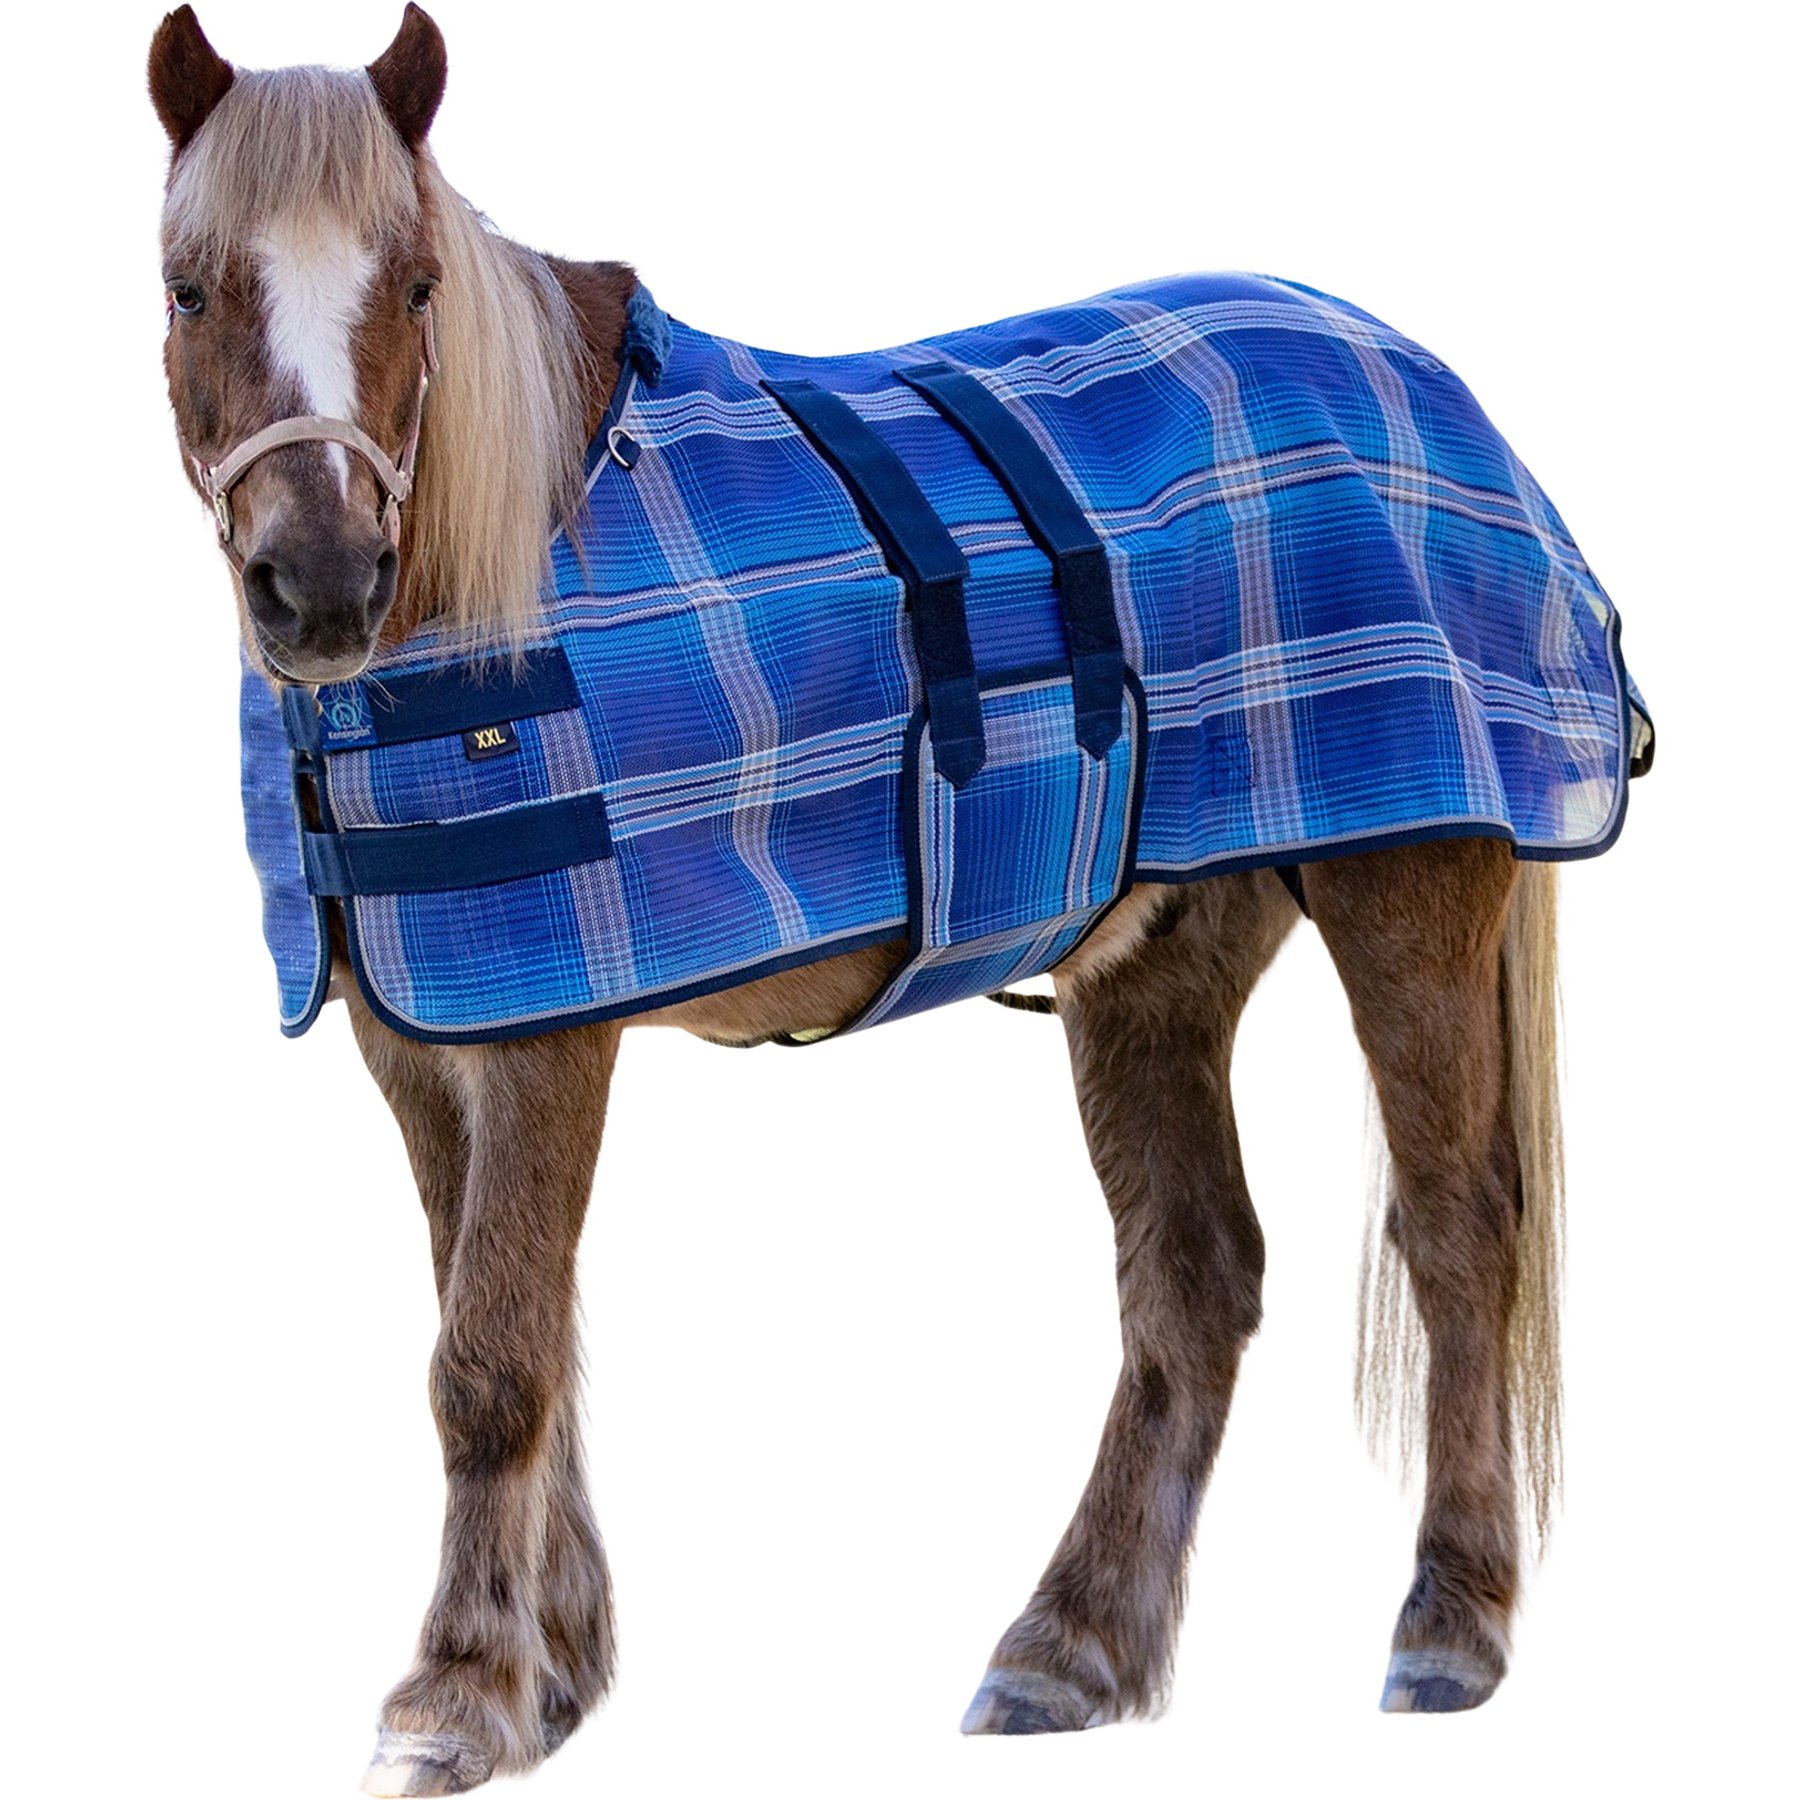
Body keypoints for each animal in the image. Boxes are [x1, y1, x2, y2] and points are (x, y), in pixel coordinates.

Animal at [149, 7, 1649, 1793]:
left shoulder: (548, 1039)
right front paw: (553, 1674)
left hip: (1407, 894)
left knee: (1457, 1230)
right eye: (189, 287)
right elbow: (521, 1329)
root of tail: (1432, 385)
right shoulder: (425, 1037)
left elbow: (493, 1361)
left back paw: (1447, 1623)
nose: (318, 585)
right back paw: (1070, 1649)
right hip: (1160, 959)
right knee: (1196, 1276)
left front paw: (452, 1698)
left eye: (422, 283)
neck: (502, 566)